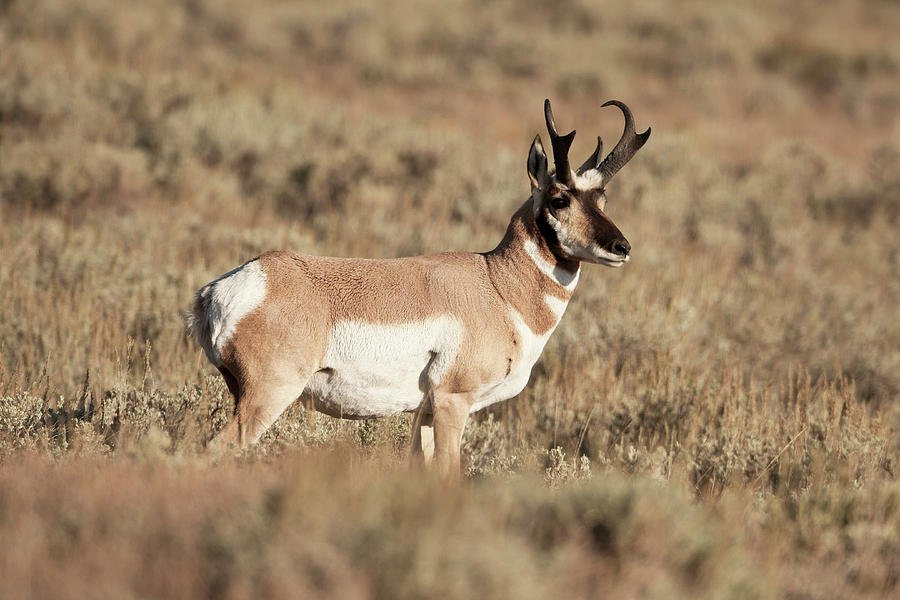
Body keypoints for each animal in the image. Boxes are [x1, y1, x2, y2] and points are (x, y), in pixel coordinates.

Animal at [192, 99, 648, 478]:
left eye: (602, 199)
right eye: (559, 199)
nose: (622, 247)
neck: (497, 286)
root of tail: (221, 289)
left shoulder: (424, 412)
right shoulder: (452, 401)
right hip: (269, 395)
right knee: (216, 449)